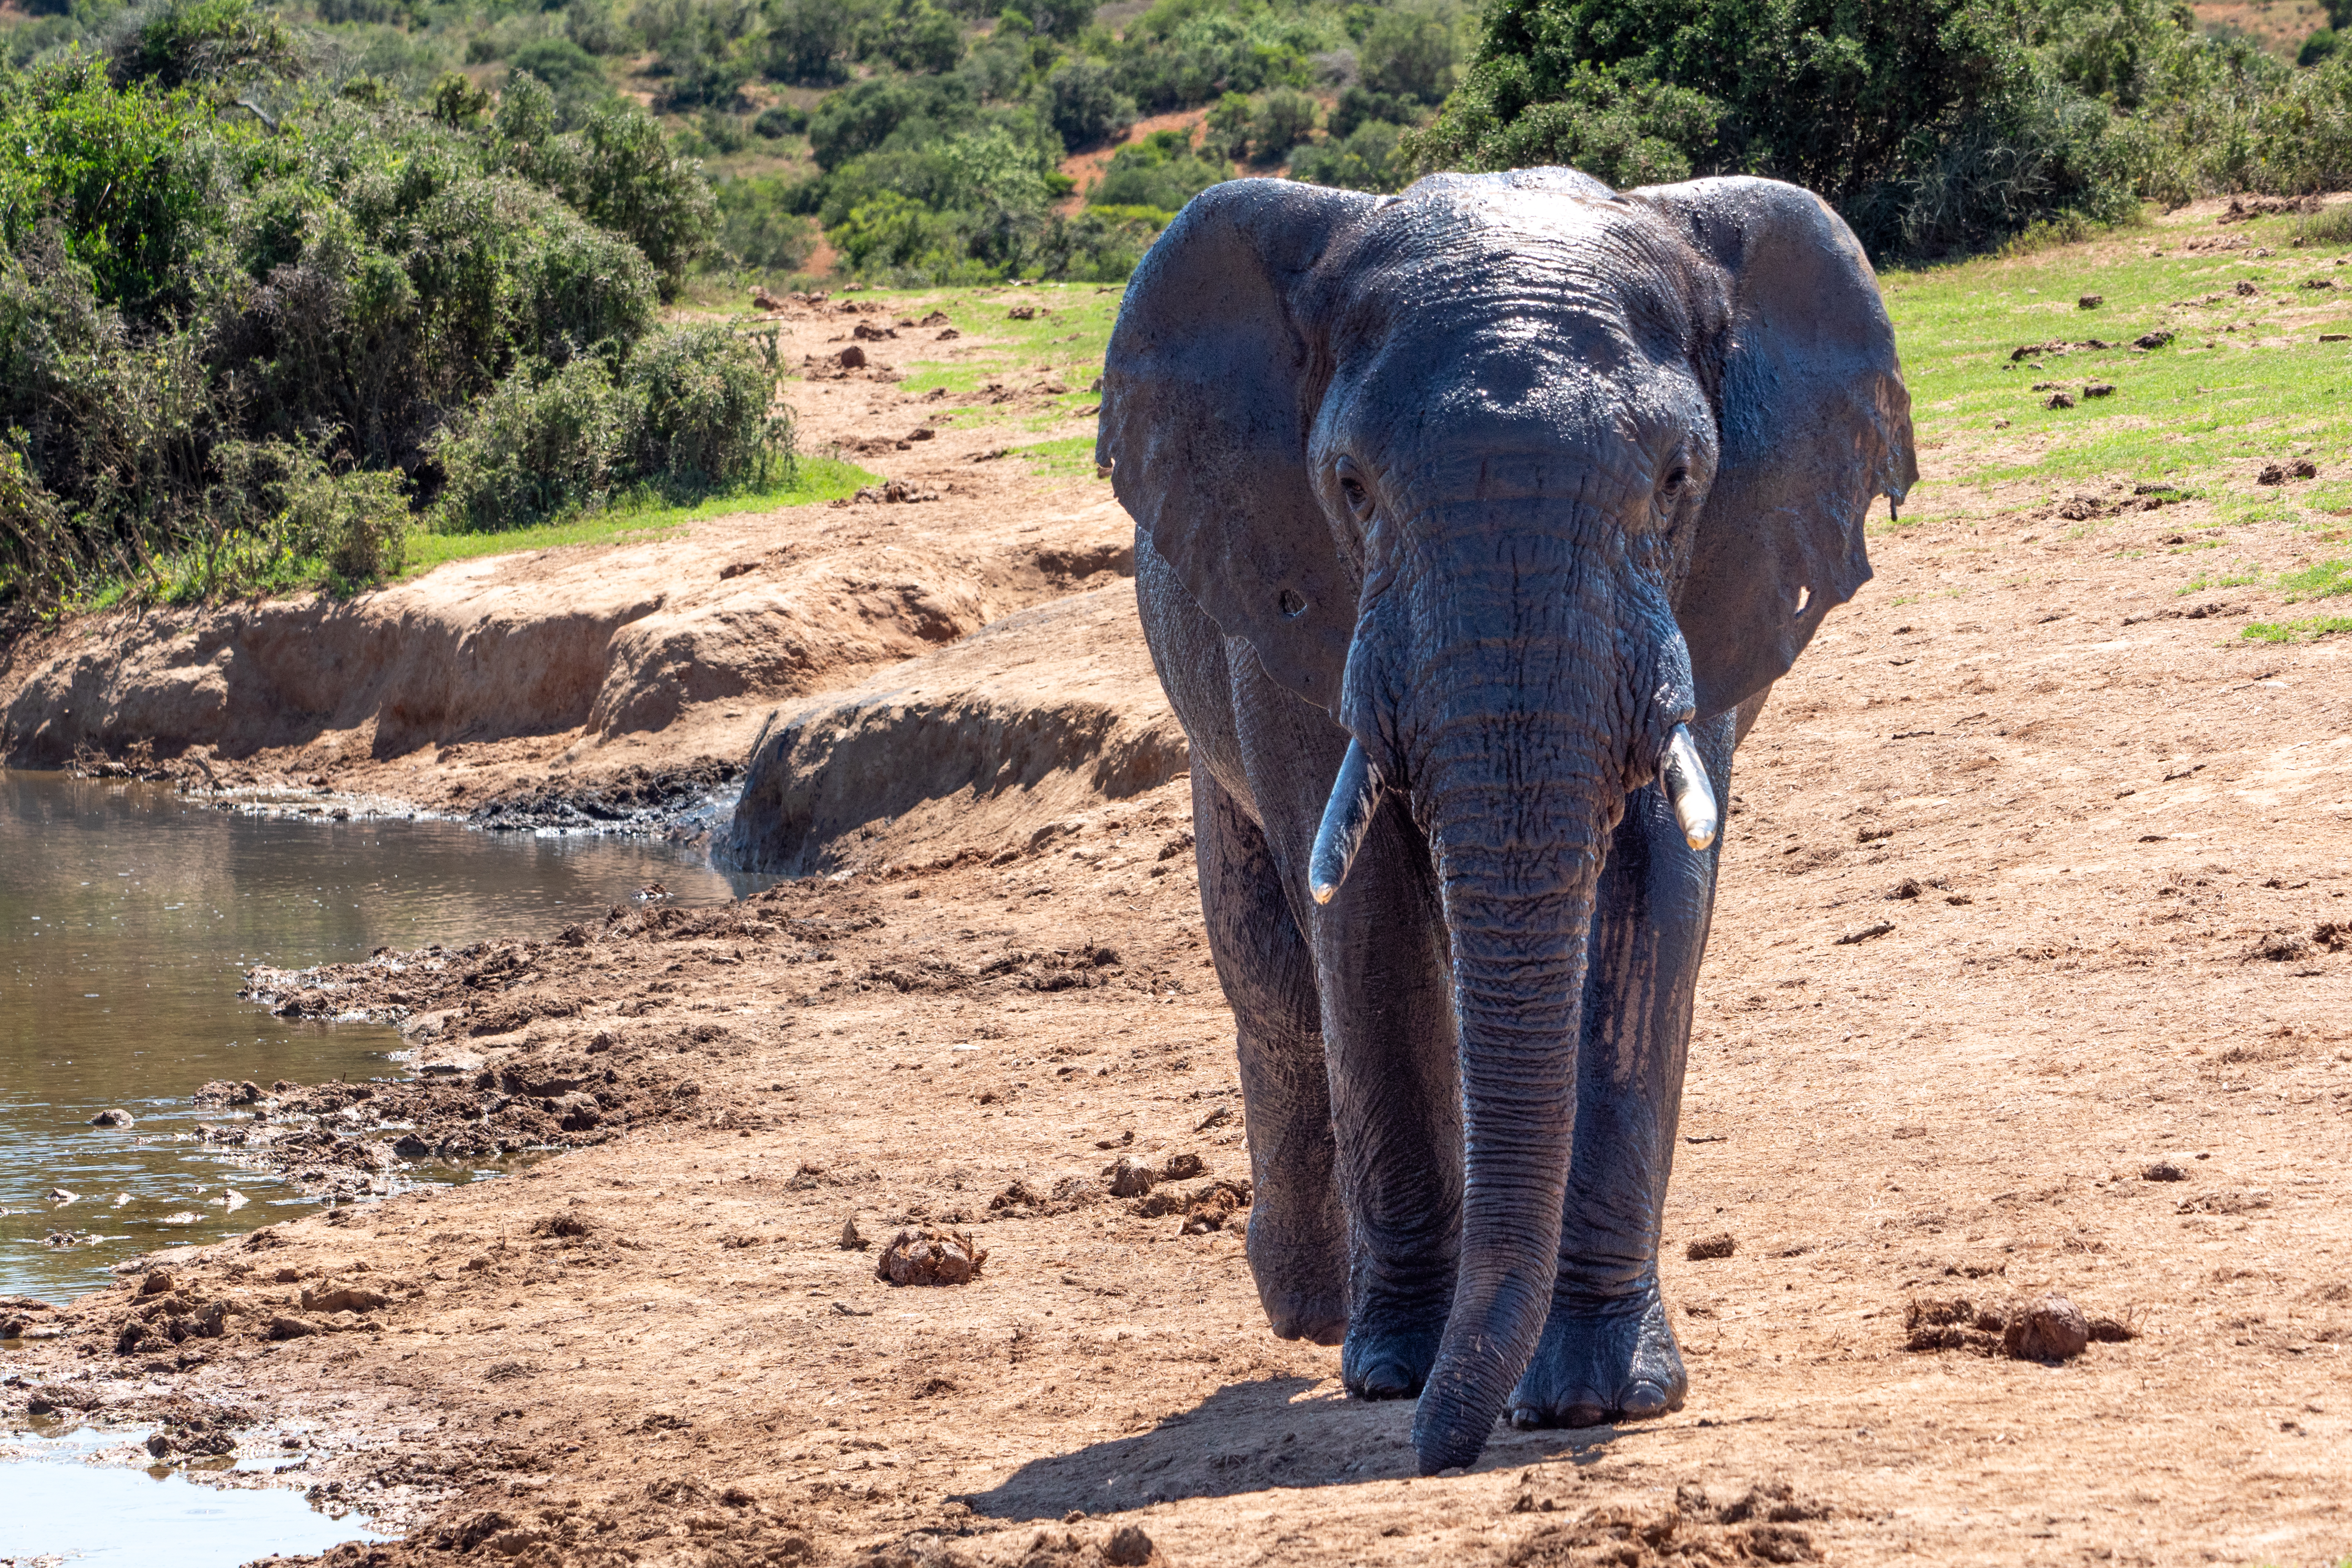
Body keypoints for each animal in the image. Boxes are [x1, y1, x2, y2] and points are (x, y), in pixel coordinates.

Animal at [1095, 167, 1915, 1475]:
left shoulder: (1705, 593)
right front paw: (1396, 1375)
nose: (1446, 1455)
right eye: (1350, 488)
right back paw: (1316, 1312)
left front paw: (1595, 1401)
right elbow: (1367, 921)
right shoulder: (1289, 604)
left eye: (1678, 480)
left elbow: (1649, 907)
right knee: (1274, 978)